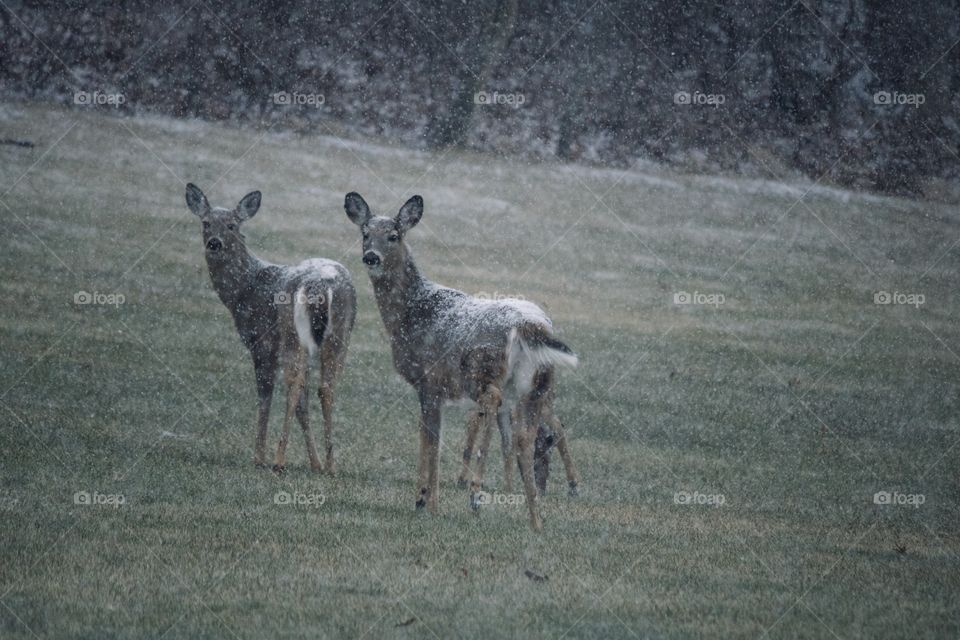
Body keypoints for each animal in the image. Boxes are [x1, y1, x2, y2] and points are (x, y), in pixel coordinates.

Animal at [185, 182, 356, 472]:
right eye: (206, 222)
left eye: (231, 225)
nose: (214, 243)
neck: (245, 290)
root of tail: (323, 286)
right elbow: (303, 406)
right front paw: (315, 463)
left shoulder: (261, 341)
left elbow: (265, 396)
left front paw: (259, 457)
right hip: (340, 334)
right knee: (326, 388)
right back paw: (331, 466)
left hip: (292, 334)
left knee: (294, 385)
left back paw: (278, 461)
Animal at [348, 191, 580, 528]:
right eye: (365, 233)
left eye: (394, 235)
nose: (371, 257)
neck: (411, 314)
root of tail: (530, 325)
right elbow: (428, 436)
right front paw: (425, 500)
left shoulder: (429, 380)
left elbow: (431, 438)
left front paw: (426, 502)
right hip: (538, 385)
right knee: (529, 434)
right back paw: (535, 517)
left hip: (483, 369)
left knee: (493, 402)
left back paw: (475, 493)